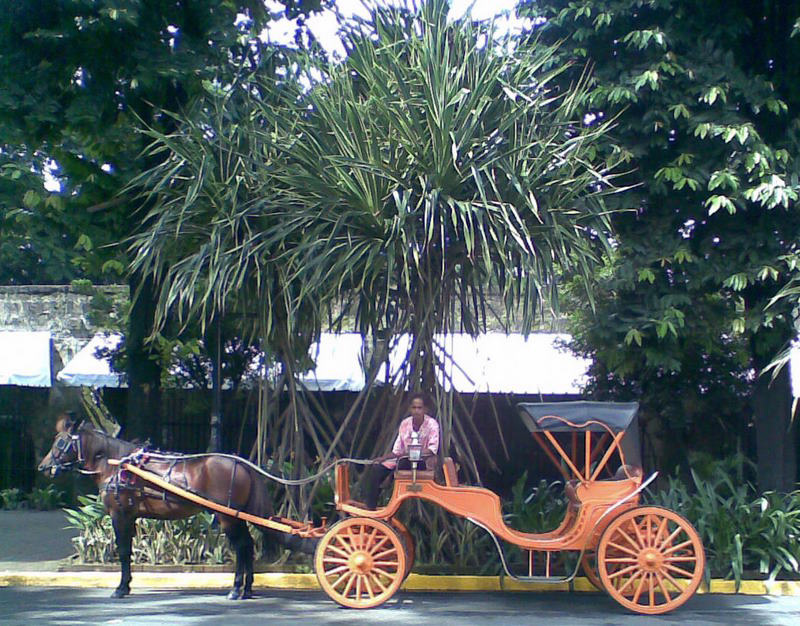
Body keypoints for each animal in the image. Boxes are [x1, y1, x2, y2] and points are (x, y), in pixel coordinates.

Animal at [39, 412, 288, 596]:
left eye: (60, 442)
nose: (43, 467)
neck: (117, 465)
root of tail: (241, 463)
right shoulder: (131, 516)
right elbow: (128, 550)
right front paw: (126, 584)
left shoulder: (119, 514)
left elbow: (122, 550)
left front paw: (120, 588)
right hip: (237, 516)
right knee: (248, 546)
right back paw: (247, 588)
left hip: (227, 516)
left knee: (242, 546)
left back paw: (236, 589)